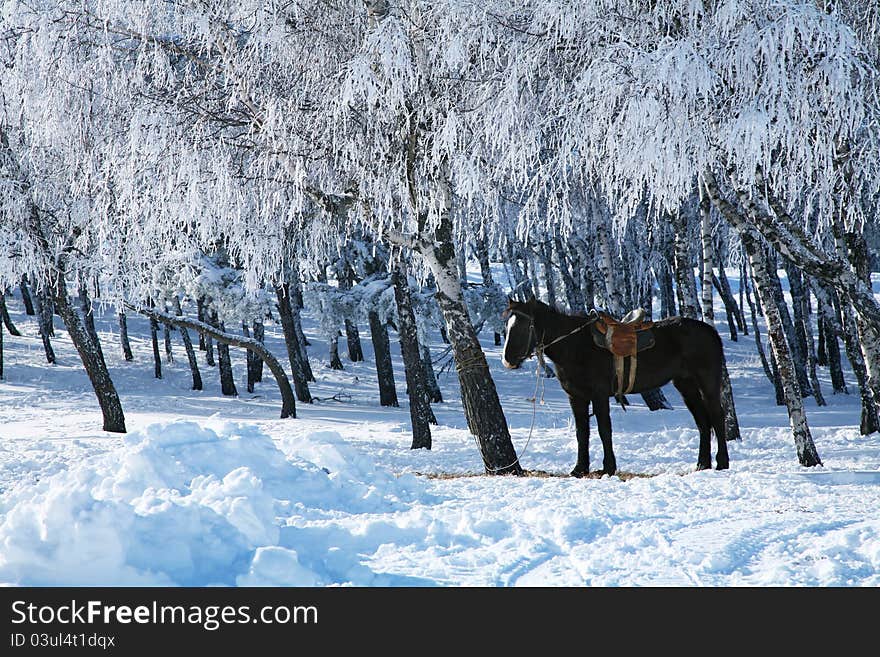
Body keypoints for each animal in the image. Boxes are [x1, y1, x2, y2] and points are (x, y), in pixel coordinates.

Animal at [502, 298, 728, 476]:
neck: (575, 346)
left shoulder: (599, 395)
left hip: (707, 382)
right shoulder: (576, 397)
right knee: (702, 422)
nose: (508, 360)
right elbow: (581, 432)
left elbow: (604, 430)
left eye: (524, 326)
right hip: (686, 386)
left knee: (717, 417)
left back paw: (722, 463)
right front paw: (579, 468)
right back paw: (702, 464)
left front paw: (608, 467)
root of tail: (711, 332)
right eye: (507, 327)